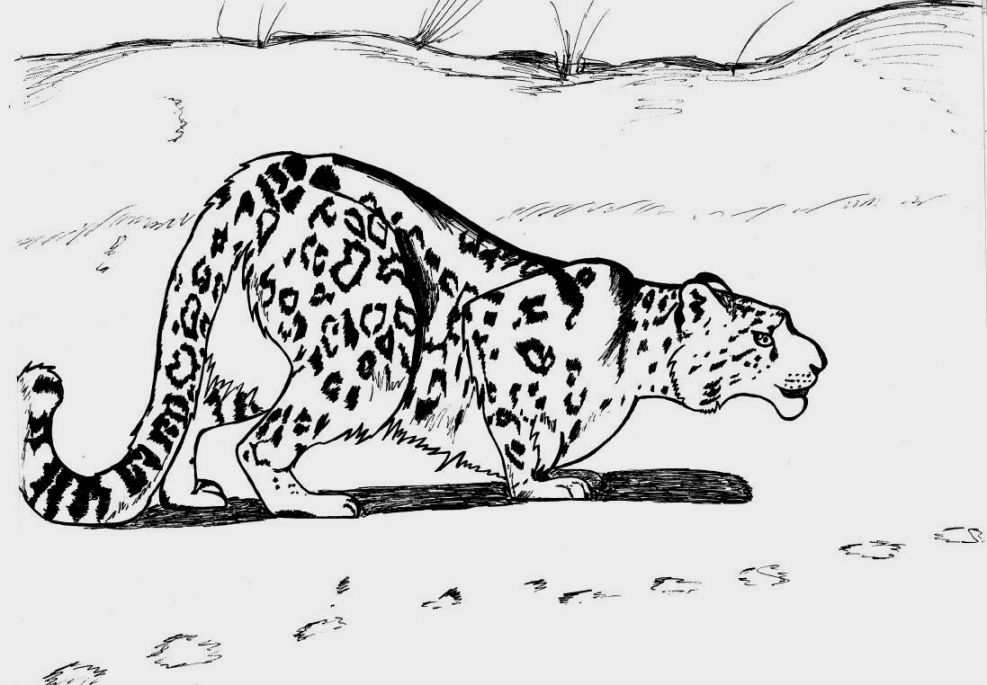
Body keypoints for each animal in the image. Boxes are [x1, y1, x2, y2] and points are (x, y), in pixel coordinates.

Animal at [18, 152, 827, 524]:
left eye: (786, 321)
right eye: (766, 332)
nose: (819, 360)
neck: (632, 363)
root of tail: (260, 174)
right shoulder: (496, 326)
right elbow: (516, 429)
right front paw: (544, 482)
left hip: (246, 361)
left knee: (195, 411)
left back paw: (190, 488)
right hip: (365, 359)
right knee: (261, 439)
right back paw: (310, 500)